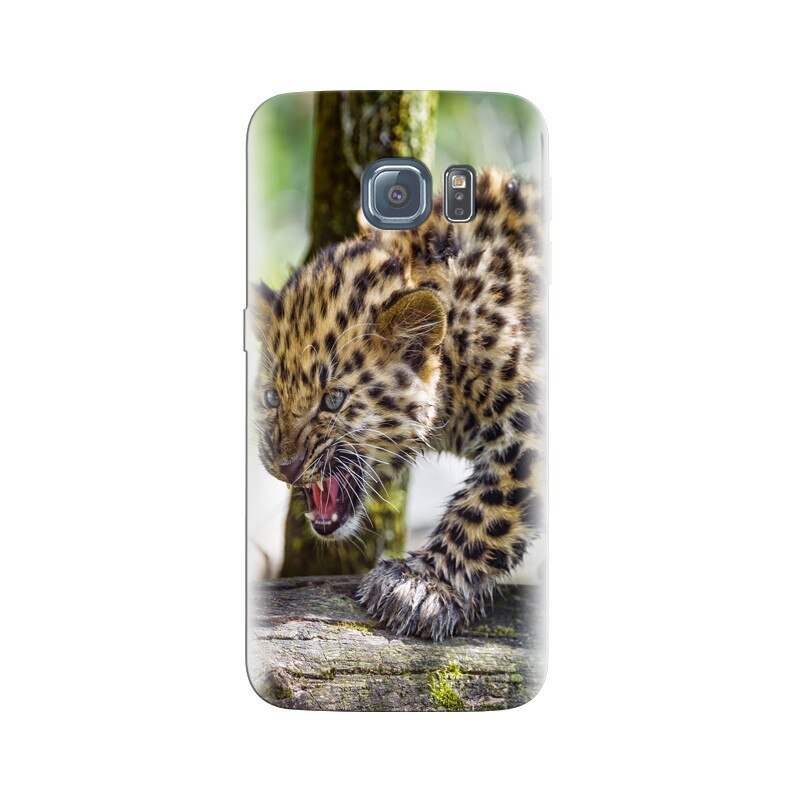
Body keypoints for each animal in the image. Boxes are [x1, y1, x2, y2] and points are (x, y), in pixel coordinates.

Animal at [250, 168, 545, 640]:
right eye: (271, 397)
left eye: (333, 399)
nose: (285, 466)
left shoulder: (532, 427)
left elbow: (488, 509)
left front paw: (421, 585)